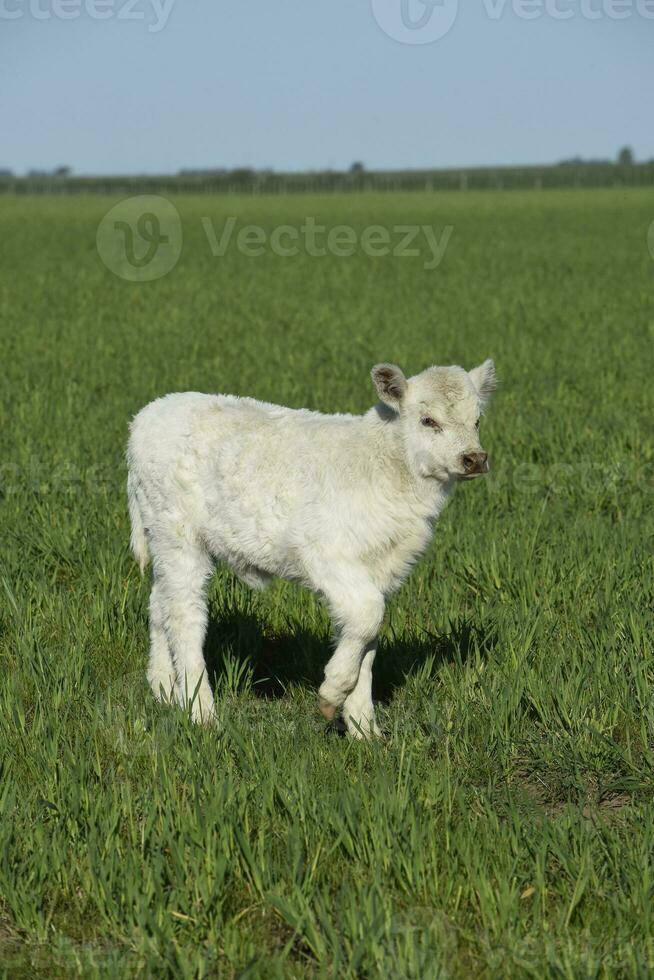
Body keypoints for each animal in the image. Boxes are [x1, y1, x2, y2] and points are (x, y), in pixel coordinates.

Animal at [128, 358, 498, 736]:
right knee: (184, 614)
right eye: (428, 420)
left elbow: (367, 637)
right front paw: (333, 692)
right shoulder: (325, 554)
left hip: (163, 538)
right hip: (178, 535)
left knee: (160, 604)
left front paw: (364, 727)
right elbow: (368, 615)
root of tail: (149, 414)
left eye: (477, 420)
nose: (474, 458)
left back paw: (163, 688)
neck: (384, 463)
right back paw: (201, 712)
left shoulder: (380, 569)